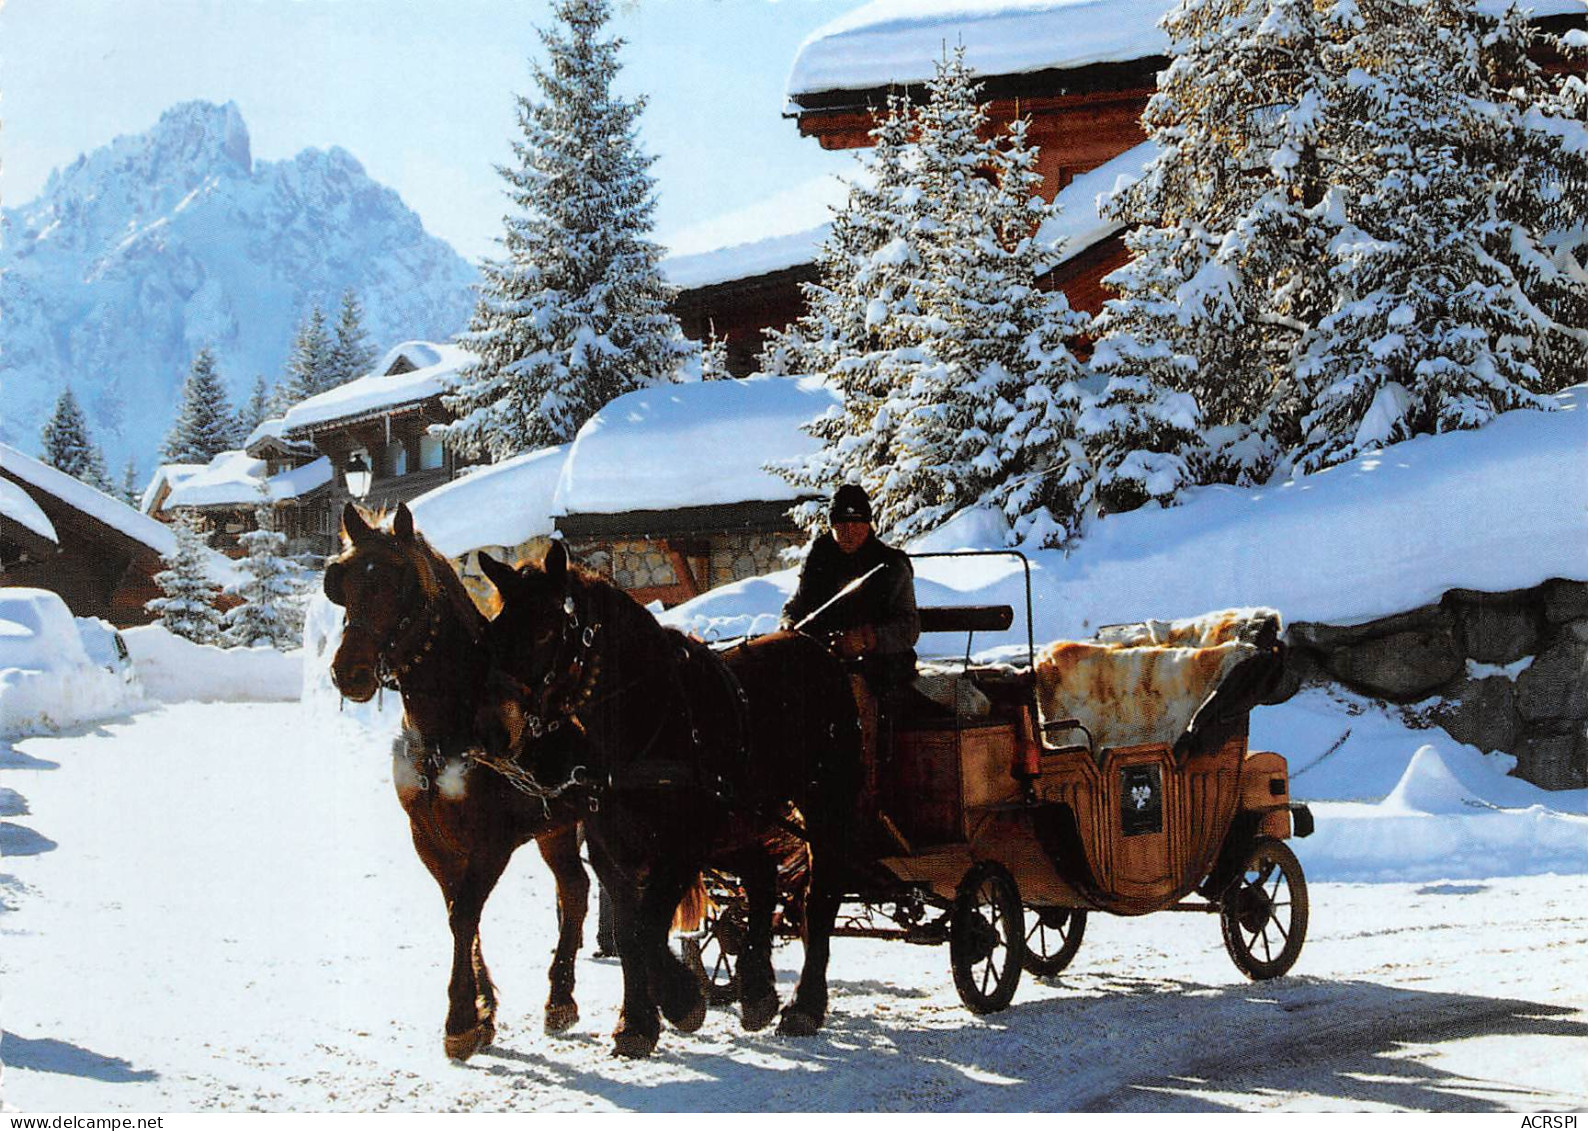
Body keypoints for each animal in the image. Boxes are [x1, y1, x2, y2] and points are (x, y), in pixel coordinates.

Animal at [323, 505, 597, 1061]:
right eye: (342, 583)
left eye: (399, 583)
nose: (349, 673)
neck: (448, 725)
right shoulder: (428, 836)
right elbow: (456, 911)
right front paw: (483, 1013)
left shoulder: (493, 840)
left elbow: (464, 913)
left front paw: (461, 1021)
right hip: (557, 827)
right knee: (575, 888)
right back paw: (561, 998)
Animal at [476, 543, 870, 1054]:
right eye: (492, 631)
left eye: (544, 628)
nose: (489, 730)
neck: (644, 722)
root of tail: (817, 649)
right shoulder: (612, 851)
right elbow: (630, 933)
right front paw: (638, 1022)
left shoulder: (681, 849)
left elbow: (647, 928)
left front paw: (680, 1001)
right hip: (736, 822)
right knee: (762, 877)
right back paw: (757, 989)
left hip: (822, 808)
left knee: (818, 898)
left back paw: (804, 1004)